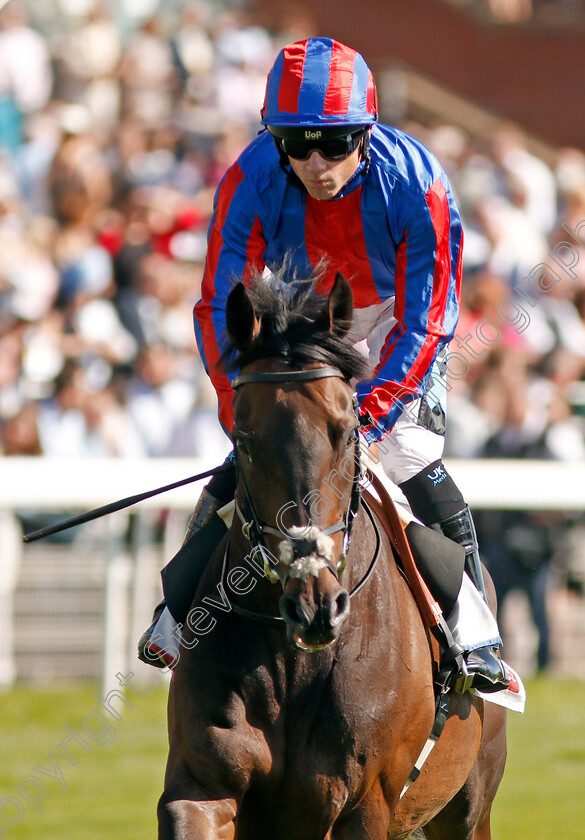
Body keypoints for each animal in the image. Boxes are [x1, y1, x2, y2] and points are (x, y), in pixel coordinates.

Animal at [156, 270, 506, 840]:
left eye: (346, 434)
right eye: (244, 441)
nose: (315, 603)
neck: (295, 664)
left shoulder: (365, 804)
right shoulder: (202, 785)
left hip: (467, 805)